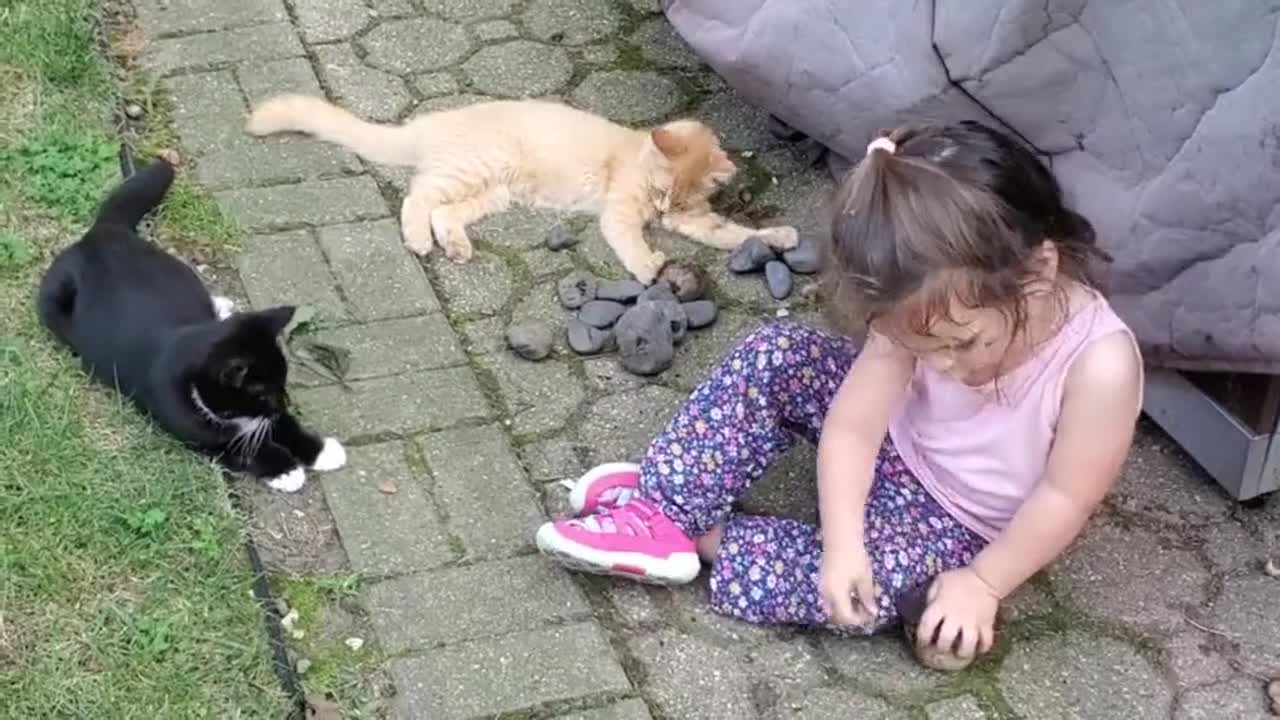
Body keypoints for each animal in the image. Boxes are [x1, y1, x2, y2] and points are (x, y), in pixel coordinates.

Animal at [36, 158, 345, 489]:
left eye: (283, 381)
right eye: (261, 394)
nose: (282, 403)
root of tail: (101, 233)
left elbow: (286, 427)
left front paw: (319, 450)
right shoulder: (197, 434)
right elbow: (242, 449)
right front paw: (285, 469)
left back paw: (222, 307)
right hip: (51, 300)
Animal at [244, 94, 793, 283]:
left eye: (676, 199)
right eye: (659, 191)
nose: (661, 212)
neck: (636, 152)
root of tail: (433, 121)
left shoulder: (695, 220)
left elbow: (733, 233)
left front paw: (781, 236)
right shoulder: (619, 212)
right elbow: (632, 242)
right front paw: (648, 267)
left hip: (491, 193)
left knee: (444, 212)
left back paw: (455, 246)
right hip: (475, 169)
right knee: (417, 197)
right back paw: (419, 241)